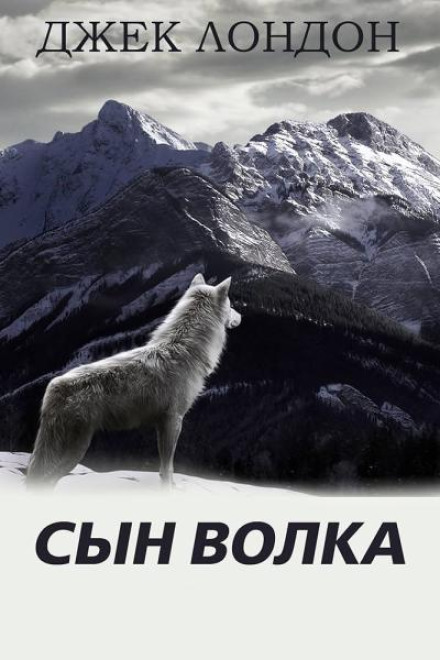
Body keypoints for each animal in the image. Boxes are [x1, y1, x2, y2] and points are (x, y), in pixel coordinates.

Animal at [26, 273, 241, 488]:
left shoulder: (162, 423)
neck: (185, 349)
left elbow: (164, 468)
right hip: (74, 452)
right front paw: (170, 489)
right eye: (231, 305)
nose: (241, 316)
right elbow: (168, 468)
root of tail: (54, 386)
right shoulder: (174, 419)